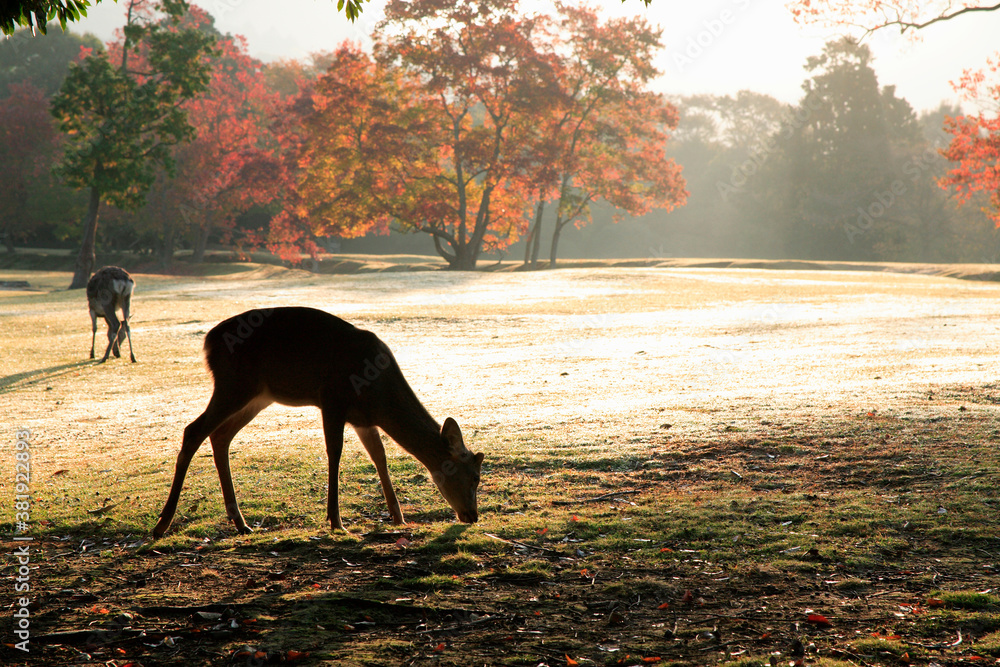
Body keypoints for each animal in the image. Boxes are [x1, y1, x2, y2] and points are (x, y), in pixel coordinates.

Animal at [150, 308, 486, 536]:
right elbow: (334, 452)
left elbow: (379, 457)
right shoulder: (333, 399)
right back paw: (162, 524)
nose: (473, 515)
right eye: (474, 477)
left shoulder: (364, 420)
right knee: (193, 430)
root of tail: (208, 342)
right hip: (233, 384)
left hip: (258, 395)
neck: (379, 395)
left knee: (219, 435)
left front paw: (398, 516)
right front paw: (336, 521)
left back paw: (240, 522)